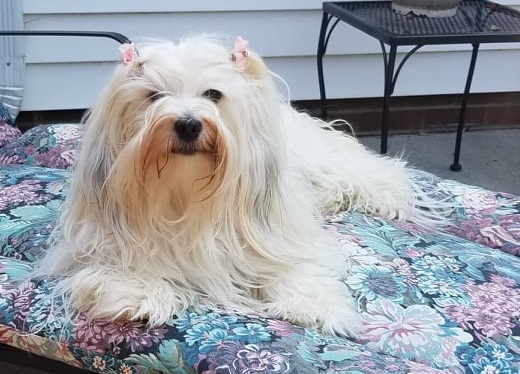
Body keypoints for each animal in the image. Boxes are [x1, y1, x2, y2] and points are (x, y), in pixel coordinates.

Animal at [35, 35, 442, 338]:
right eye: (153, 96)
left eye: (213, 94)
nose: (187, 124)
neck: (185, 193)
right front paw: (139, 291)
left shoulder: (279, 235)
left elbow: (294, 265)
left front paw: (317, 305)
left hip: (328, 163)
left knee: (377, 173)